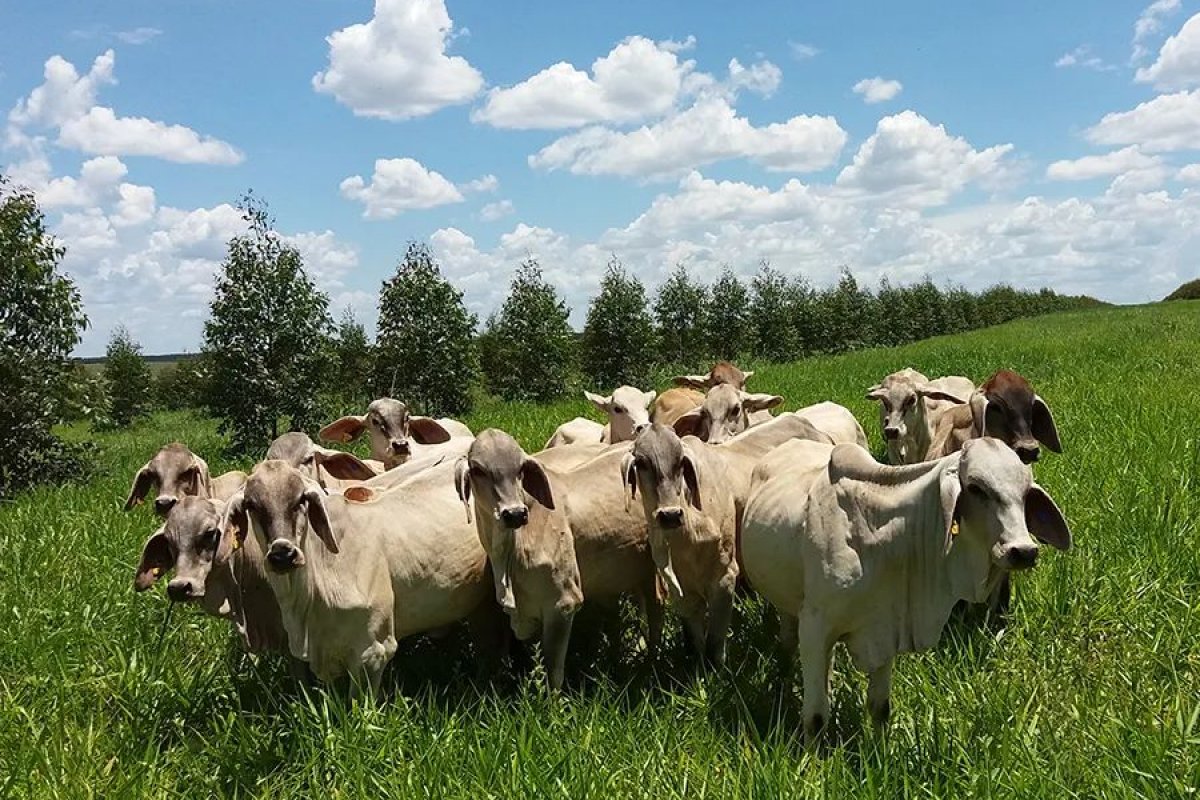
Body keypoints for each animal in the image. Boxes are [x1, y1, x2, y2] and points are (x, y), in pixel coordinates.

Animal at [741, 438, 1071, 742]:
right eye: (977, 488)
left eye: (1025, 493)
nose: (1023, 551)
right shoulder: (815, 626)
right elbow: (816, 717)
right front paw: (813, 763)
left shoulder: (887, 624)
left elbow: (880, 708)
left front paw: (879, 755)